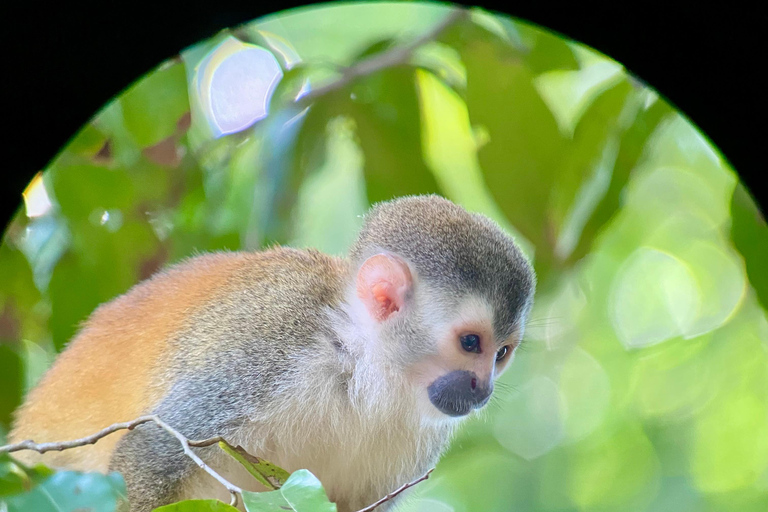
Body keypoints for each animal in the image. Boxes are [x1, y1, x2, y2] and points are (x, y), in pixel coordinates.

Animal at [7, 195, 536, 512]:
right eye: (471, 343)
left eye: (502, 353)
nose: (483, 389)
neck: (357, 369)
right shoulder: (264, 353)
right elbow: (151, 452)